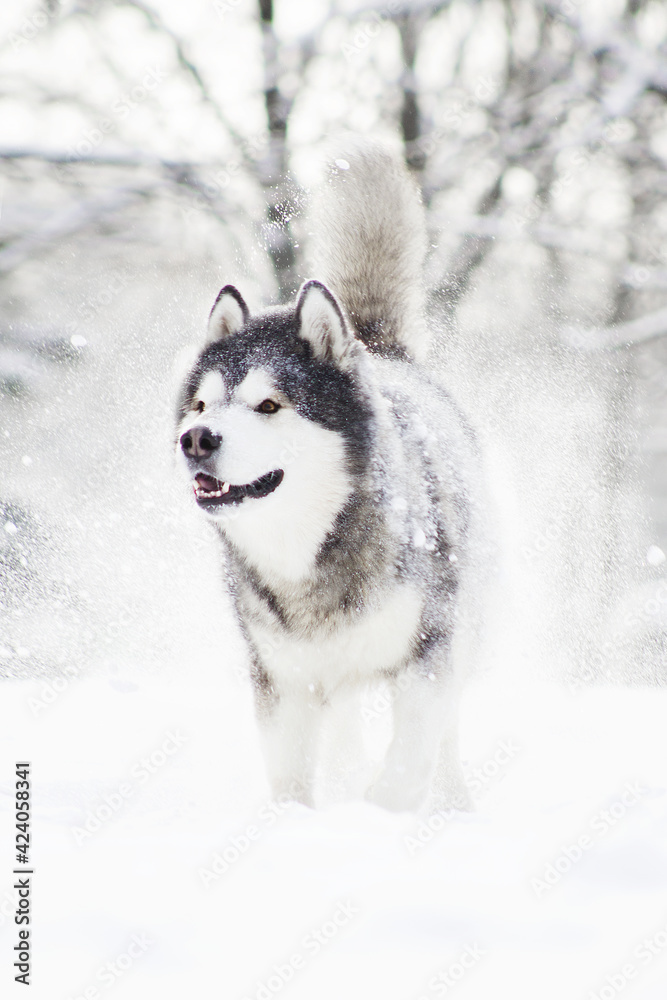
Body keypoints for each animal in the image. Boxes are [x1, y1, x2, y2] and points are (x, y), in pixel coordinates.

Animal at [175, 141, 482, 812]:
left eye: (269, 405)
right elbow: (290, 780)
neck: (309, 550)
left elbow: (410, 759)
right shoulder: (283, 678)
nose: (195, 440)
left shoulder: (426, 653)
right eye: (201, 406)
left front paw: (381, 808)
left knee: (450, 736)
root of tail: (380, 349)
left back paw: (454, 804)